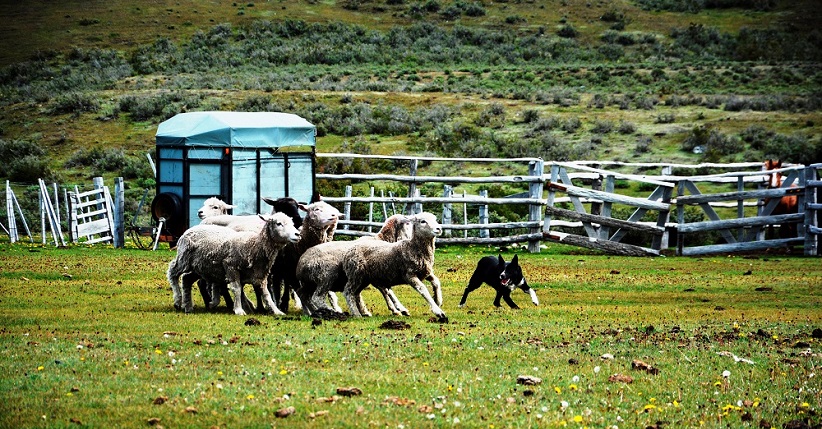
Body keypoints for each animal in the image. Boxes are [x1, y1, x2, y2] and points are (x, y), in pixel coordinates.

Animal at [167, 212, 300, 316]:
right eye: (279, 223)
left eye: (292, 223)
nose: (297, 234)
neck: (254, 245)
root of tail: (189, 229)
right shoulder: (230, 266)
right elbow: (237, 289)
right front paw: (239, 310)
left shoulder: (260, 274)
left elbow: (266, 294)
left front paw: (276, 310)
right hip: (183, 259)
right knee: (173, 272)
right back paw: (178, 300)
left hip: (201, 267)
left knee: (186, 279)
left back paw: (188, 306)